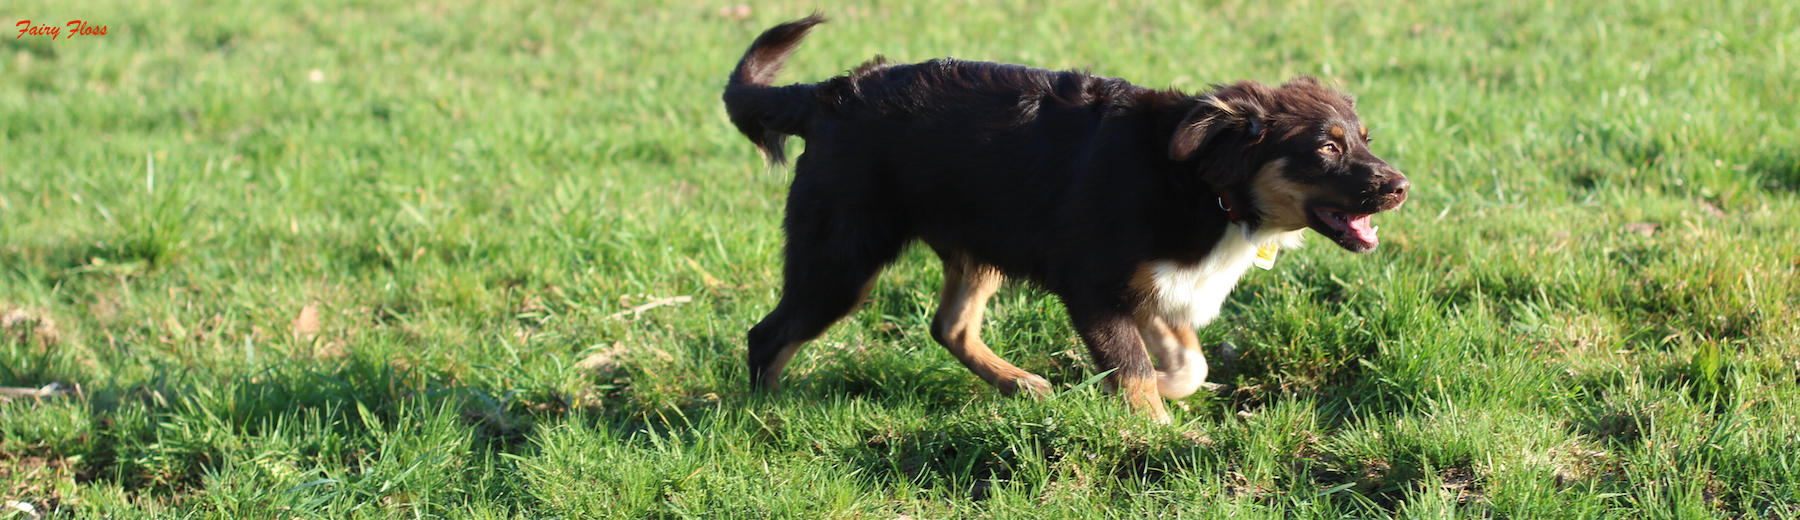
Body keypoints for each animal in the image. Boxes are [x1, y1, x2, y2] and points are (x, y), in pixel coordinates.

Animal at [716, 15, 1404, 421]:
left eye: (1365, 139)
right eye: (1326, 148)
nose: (1400, 187)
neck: (1203, 184)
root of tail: (826, 95)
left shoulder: (1154, 283)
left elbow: (1187, 364)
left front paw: (1155, 393)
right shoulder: (1092, 284)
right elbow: (1133, 371)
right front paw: (1161, 434)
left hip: (982, 238)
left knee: (950, 327)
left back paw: (1022, 385)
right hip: (841, 259)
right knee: (768, 336)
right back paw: (766, 417)